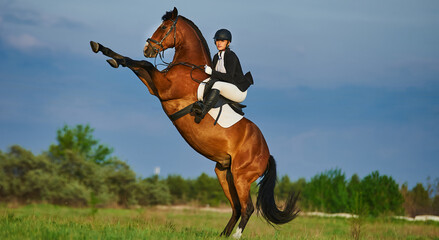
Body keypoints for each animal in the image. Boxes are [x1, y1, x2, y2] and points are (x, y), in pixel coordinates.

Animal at [91, 7, 300, 238]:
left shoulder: (164, 88)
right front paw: (105, 51)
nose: (147, 49)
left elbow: (143, 64)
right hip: (224, 173)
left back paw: (235, 236)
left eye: (164, 27)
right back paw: (222, 236)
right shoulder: (155, 87)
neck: (187, 66)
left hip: (241, 176)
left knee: (247, 208)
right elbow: (136, 65)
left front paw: (112, 54)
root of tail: (266, 153)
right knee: (236, 207)